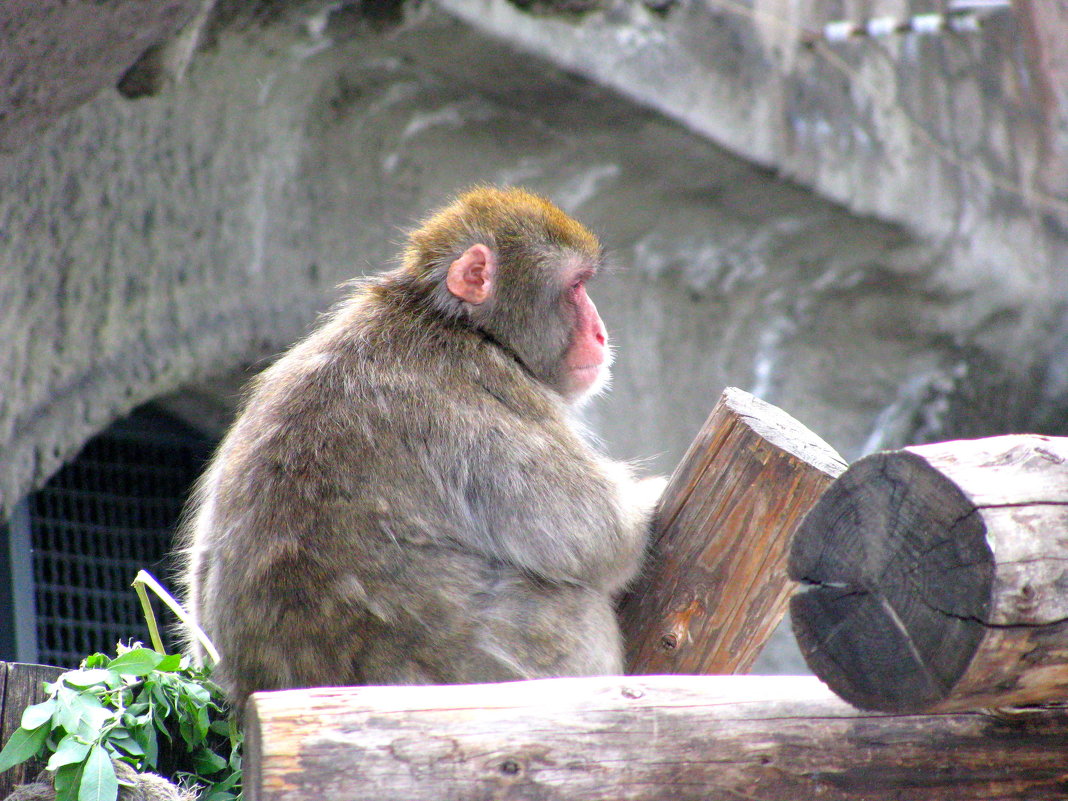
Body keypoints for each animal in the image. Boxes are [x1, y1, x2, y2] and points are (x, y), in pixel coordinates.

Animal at [182, 186, 662, 709]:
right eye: (576, 286)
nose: (600, 333)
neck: (453, 321)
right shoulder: (485, 387)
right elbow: (598, 533)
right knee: (575, 610)